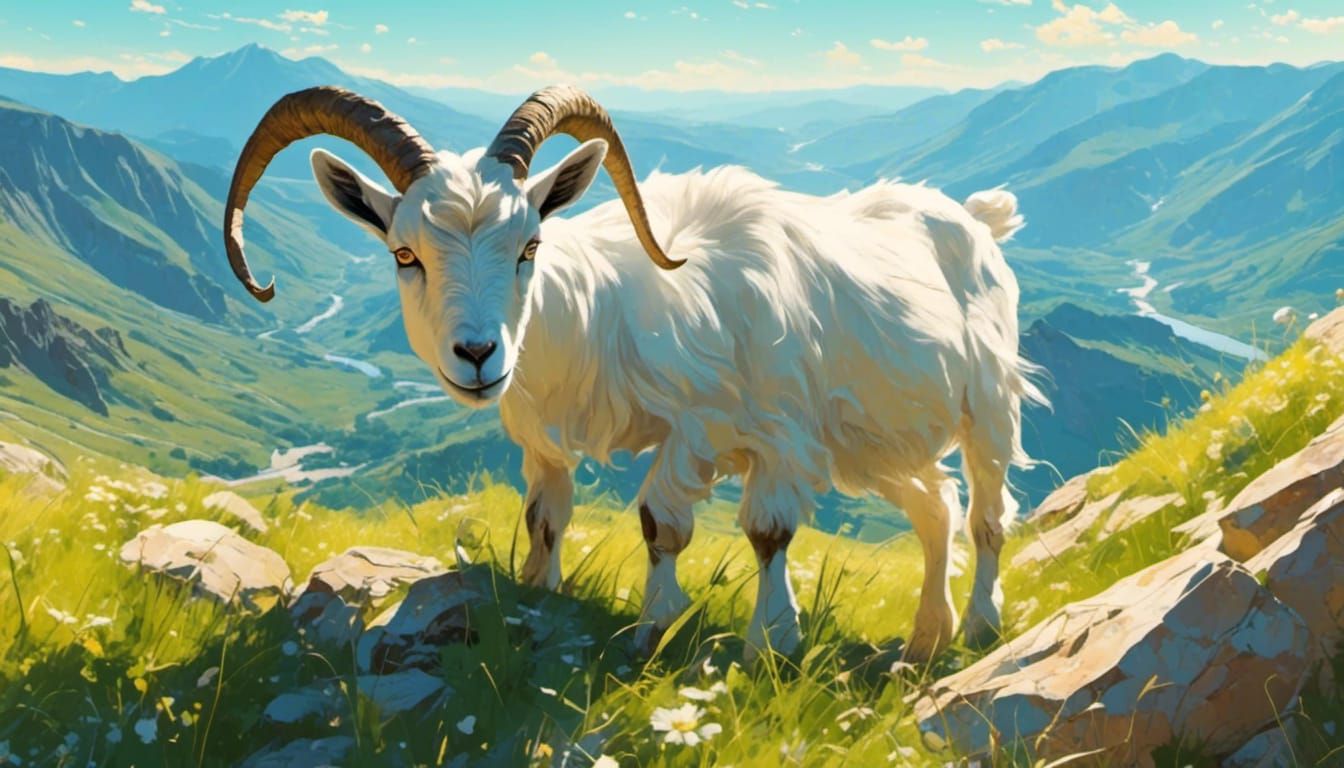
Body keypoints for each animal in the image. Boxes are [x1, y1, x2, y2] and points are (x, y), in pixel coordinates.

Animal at [222, 85, 1044, 661]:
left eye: (530, 244)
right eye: (404, 254)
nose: (480, 356)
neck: (616, 307)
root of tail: (978, 218)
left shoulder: (759, 434)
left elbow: (716, 528)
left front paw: (736, 640)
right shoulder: (545, 440)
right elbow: (546, 516)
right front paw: (540, 594)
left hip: (989, 405)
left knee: (986, 512)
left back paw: (978, 627)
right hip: (872, 440)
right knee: (935, 505)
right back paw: (926, 639)